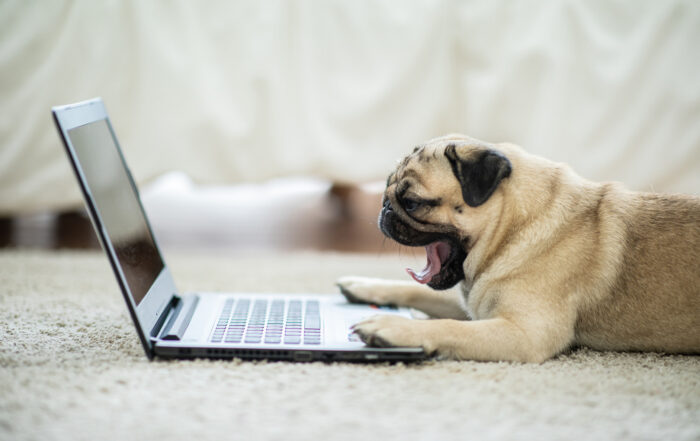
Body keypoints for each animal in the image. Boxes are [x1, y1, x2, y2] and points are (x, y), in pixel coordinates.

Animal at [336, 133, 696, 360]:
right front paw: (363, 286)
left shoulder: (524, 333)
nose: (383, 208)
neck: (513, 227)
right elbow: (416, 291)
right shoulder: (478, 303)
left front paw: (392, 327)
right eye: (386, 190)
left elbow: (449, 327)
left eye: (411, 203)